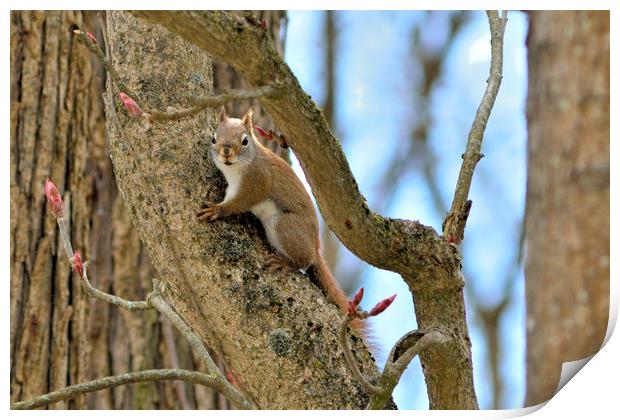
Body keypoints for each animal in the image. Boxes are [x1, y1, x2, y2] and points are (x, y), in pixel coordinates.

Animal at [197, 108, 368, 334]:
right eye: (214, 138)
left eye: (245, 141)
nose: (226, 152)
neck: (238, 168)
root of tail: (315, 247)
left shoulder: (257, 182)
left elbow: (239, 202)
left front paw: (217, 210)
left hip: (283, 225)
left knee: (304, 261)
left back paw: (285, 262)